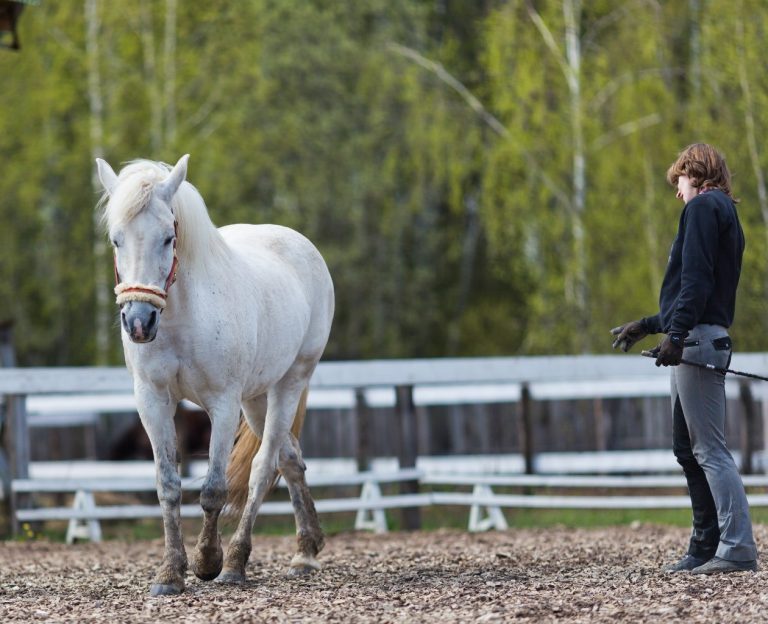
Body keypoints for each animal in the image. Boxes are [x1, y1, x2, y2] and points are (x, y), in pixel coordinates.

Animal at [95, 155, 332, 596]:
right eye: (116, 240)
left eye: (168, 238)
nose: (139, 323)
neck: (181, 316)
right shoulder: (152, 401)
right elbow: (168, 486)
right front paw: (170, 573)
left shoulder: (222, 405)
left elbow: (212, 490)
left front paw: (208, 562)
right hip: (254, 399)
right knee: (290, 459)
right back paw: (306, 550)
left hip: (287, 384)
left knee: (263, 467)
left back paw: (238, 561)